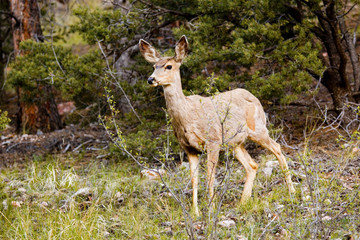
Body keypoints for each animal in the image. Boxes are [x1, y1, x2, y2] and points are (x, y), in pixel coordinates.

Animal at [139, 35, 294, 216]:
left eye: (168, 66)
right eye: (153, 66)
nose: (151, 79)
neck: (187, 116)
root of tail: (254, 97)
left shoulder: (212, 141)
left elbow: (210, 177)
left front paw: (211, 209)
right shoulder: (189, 148)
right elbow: (194, 179)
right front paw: (196, 212)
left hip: (258, 128)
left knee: (276, 147)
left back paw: (292, 192)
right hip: (235, 143)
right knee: (252, 165)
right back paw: (243, 202)